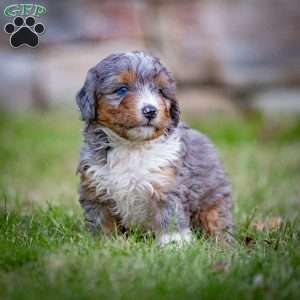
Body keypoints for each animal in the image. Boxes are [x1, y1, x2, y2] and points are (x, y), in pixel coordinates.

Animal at [75, 50, 234, 245]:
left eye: (160, 91)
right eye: (122, 89)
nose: (150, 110)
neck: (132, 146)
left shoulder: (166, 185)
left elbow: (170, 220)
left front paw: (174, 246)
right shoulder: (96, 191)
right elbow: (102, 223)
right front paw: (104, 244)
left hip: (213, 201)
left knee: (217, 223)